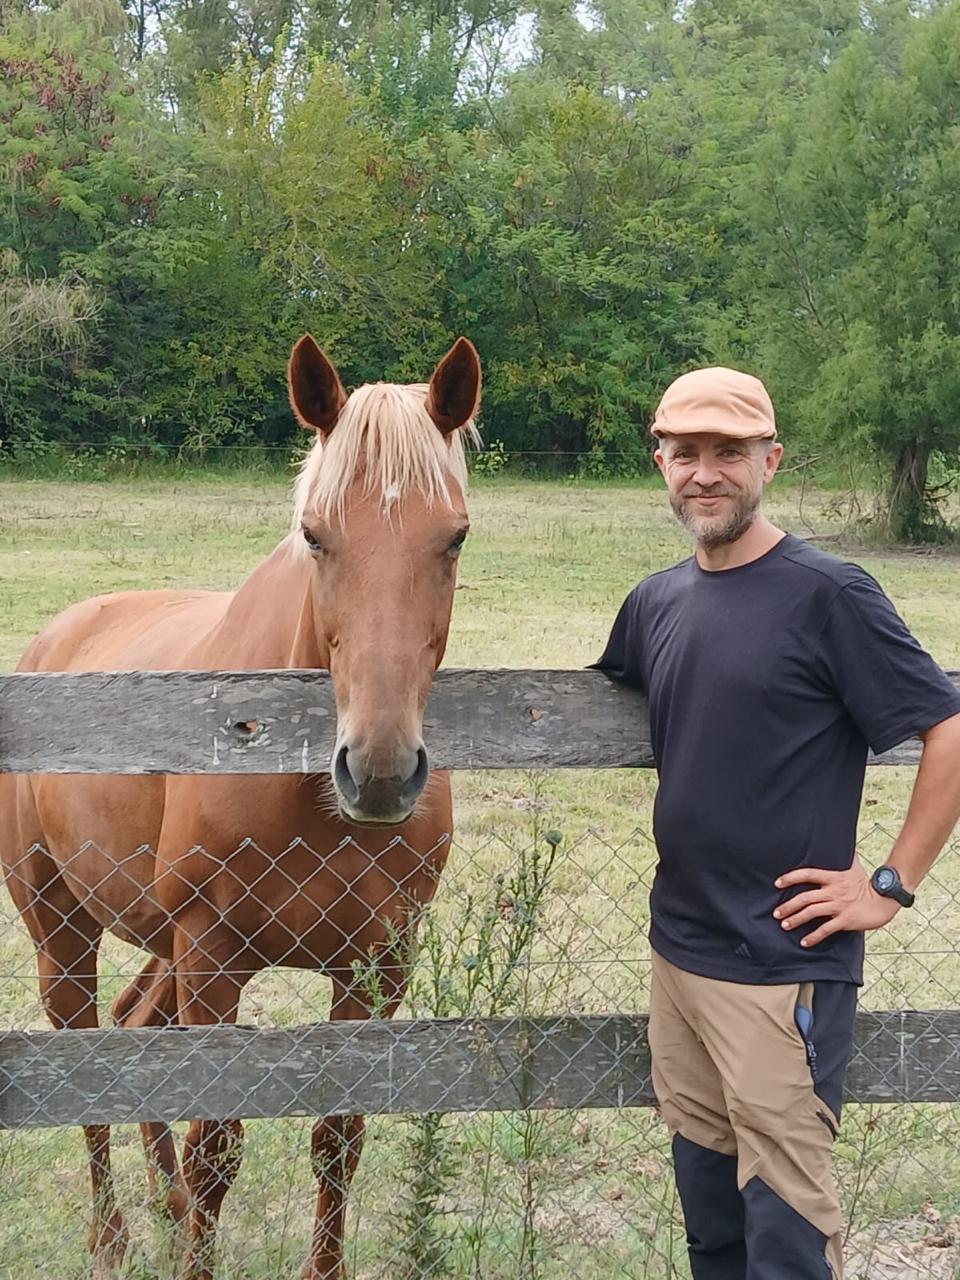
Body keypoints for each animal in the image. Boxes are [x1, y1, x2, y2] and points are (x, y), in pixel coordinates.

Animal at [0, 334, 481, 1280]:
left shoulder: (377, 969)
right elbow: (217, 1146)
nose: (377, 772)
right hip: (63, 928)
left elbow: (338, 1138)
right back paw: (114, 1238)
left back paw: (163, 1209)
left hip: (160, 943)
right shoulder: (214, 957)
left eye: (455, 536)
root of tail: (54, 637)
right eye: (315, 535)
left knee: (136, 1031)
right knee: (89, 1058)